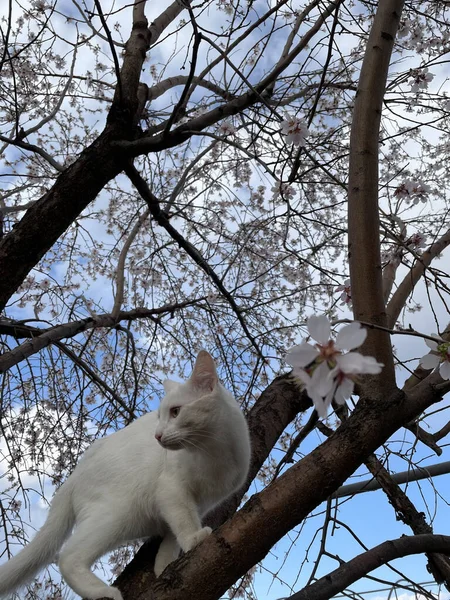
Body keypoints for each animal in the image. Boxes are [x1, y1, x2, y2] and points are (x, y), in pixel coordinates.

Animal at [0, 352, 251, 600]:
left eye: (175, 412)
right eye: (161, 416)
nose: (157, 435)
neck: (214, 455)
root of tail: (75, 472)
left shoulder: (199, 503)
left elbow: (172, 534)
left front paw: (165, 566)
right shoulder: (172, 490)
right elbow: (183, 521)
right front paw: (193, 539)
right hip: (117, 515)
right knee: (68, 556)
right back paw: (103, 592)